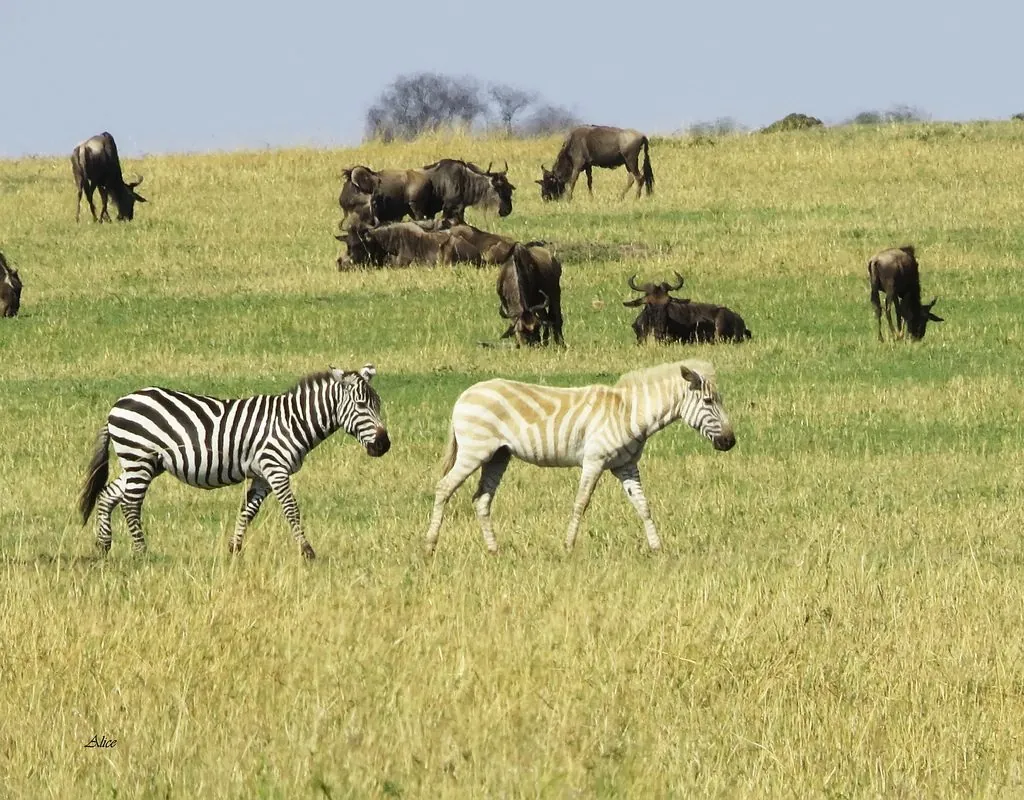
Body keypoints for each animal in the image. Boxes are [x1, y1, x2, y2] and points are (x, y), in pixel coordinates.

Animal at [79, 365, 390, 559]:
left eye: (378, 404)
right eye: (362, 405)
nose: (384, 445)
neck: (293, 420)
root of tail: (118, 403)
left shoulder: (262, 475)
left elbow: (248, 511)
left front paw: (234, 548)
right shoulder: (276, 468)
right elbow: (292, 510)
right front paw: (307, 551)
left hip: (143, 463)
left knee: (108, 494)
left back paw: (103, 545)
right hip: (139, 458)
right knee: (131, 504)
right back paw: (141, 552)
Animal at [425, 359, 735, 555]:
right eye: (709, 402)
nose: (730, 442)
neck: (628, 413)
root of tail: (464, 395)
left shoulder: (625, 465)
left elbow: (643, 506)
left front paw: (657, 547)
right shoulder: (594, 460)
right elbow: (580, 503)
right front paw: (568, 547)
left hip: (498, 456)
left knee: (481, 499)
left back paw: (493, 549)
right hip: (475, 451)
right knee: (443, 488)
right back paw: (429, 546)